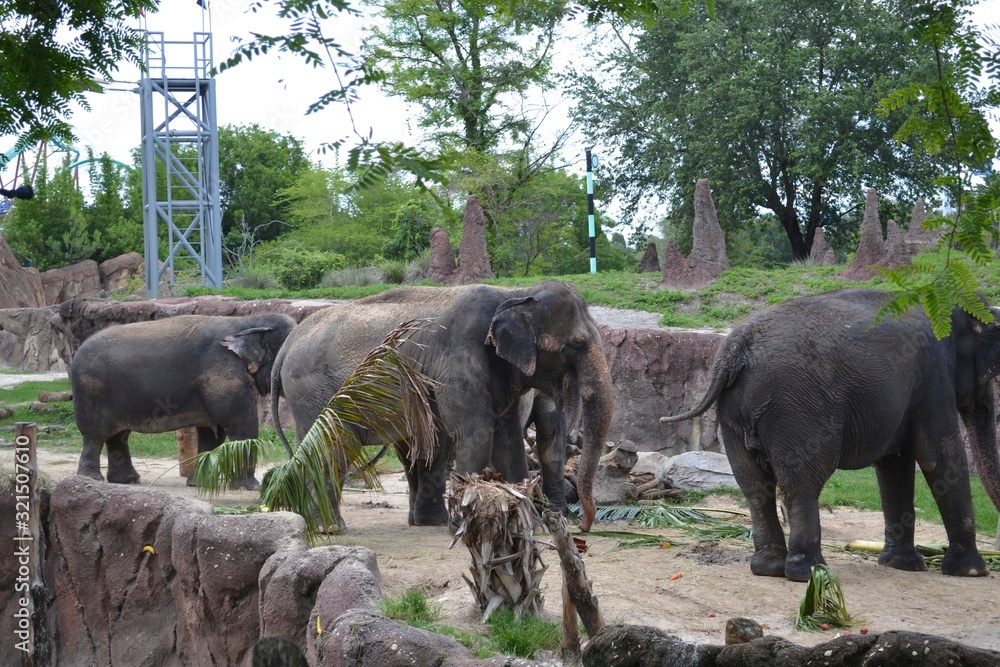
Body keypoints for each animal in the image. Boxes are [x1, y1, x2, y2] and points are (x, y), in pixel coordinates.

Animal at [72, 313, 296, 488]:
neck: (249, 321)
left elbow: (212, 434)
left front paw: (199, 483)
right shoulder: (225, 373)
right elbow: (239, 424)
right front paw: (250, 486)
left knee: (118, 436)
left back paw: (127, 481)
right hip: (92, 392)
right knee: (95, 434)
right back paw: (91, 480)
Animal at [271, 281, 613, 531]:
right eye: (576, 345)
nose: (583, 527)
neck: (512, 294)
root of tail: (286, 346)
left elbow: (507, 439)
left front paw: (530, 525)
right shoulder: (458, 362)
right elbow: (477, 434)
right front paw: (464, 525)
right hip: (313, 390)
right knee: (330, 445)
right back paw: (330, 528)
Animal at [661, 289, 1000, 582]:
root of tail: (734, 350)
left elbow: (894, 465)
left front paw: (900, 565)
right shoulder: (933, 375)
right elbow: (938, 458)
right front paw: (973, 572)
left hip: (733, 412)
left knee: (755, 485)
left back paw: (769, 568)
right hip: (795, 406)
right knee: (801, 481)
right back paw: (810, 572)